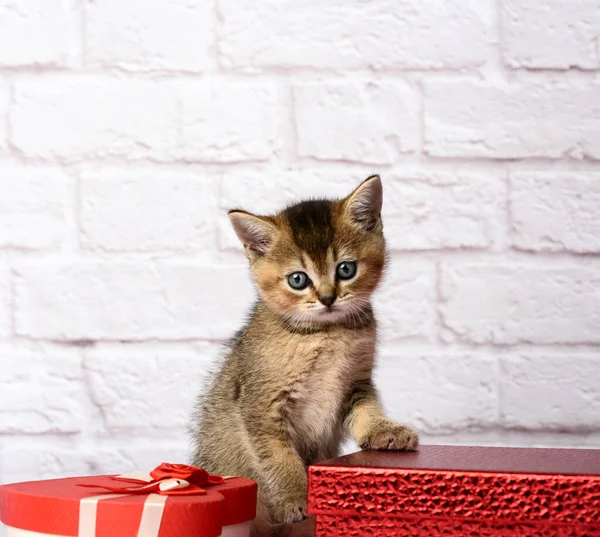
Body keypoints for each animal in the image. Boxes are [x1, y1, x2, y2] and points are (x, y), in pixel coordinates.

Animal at [192, 177, 418, 532]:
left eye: (346, 269)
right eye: (297, 279)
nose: (327, 298)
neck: (326, 335)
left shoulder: (356, 383)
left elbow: (367, 411)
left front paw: (385, 431)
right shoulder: (260, 406)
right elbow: (280, 458)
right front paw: (295, 499)